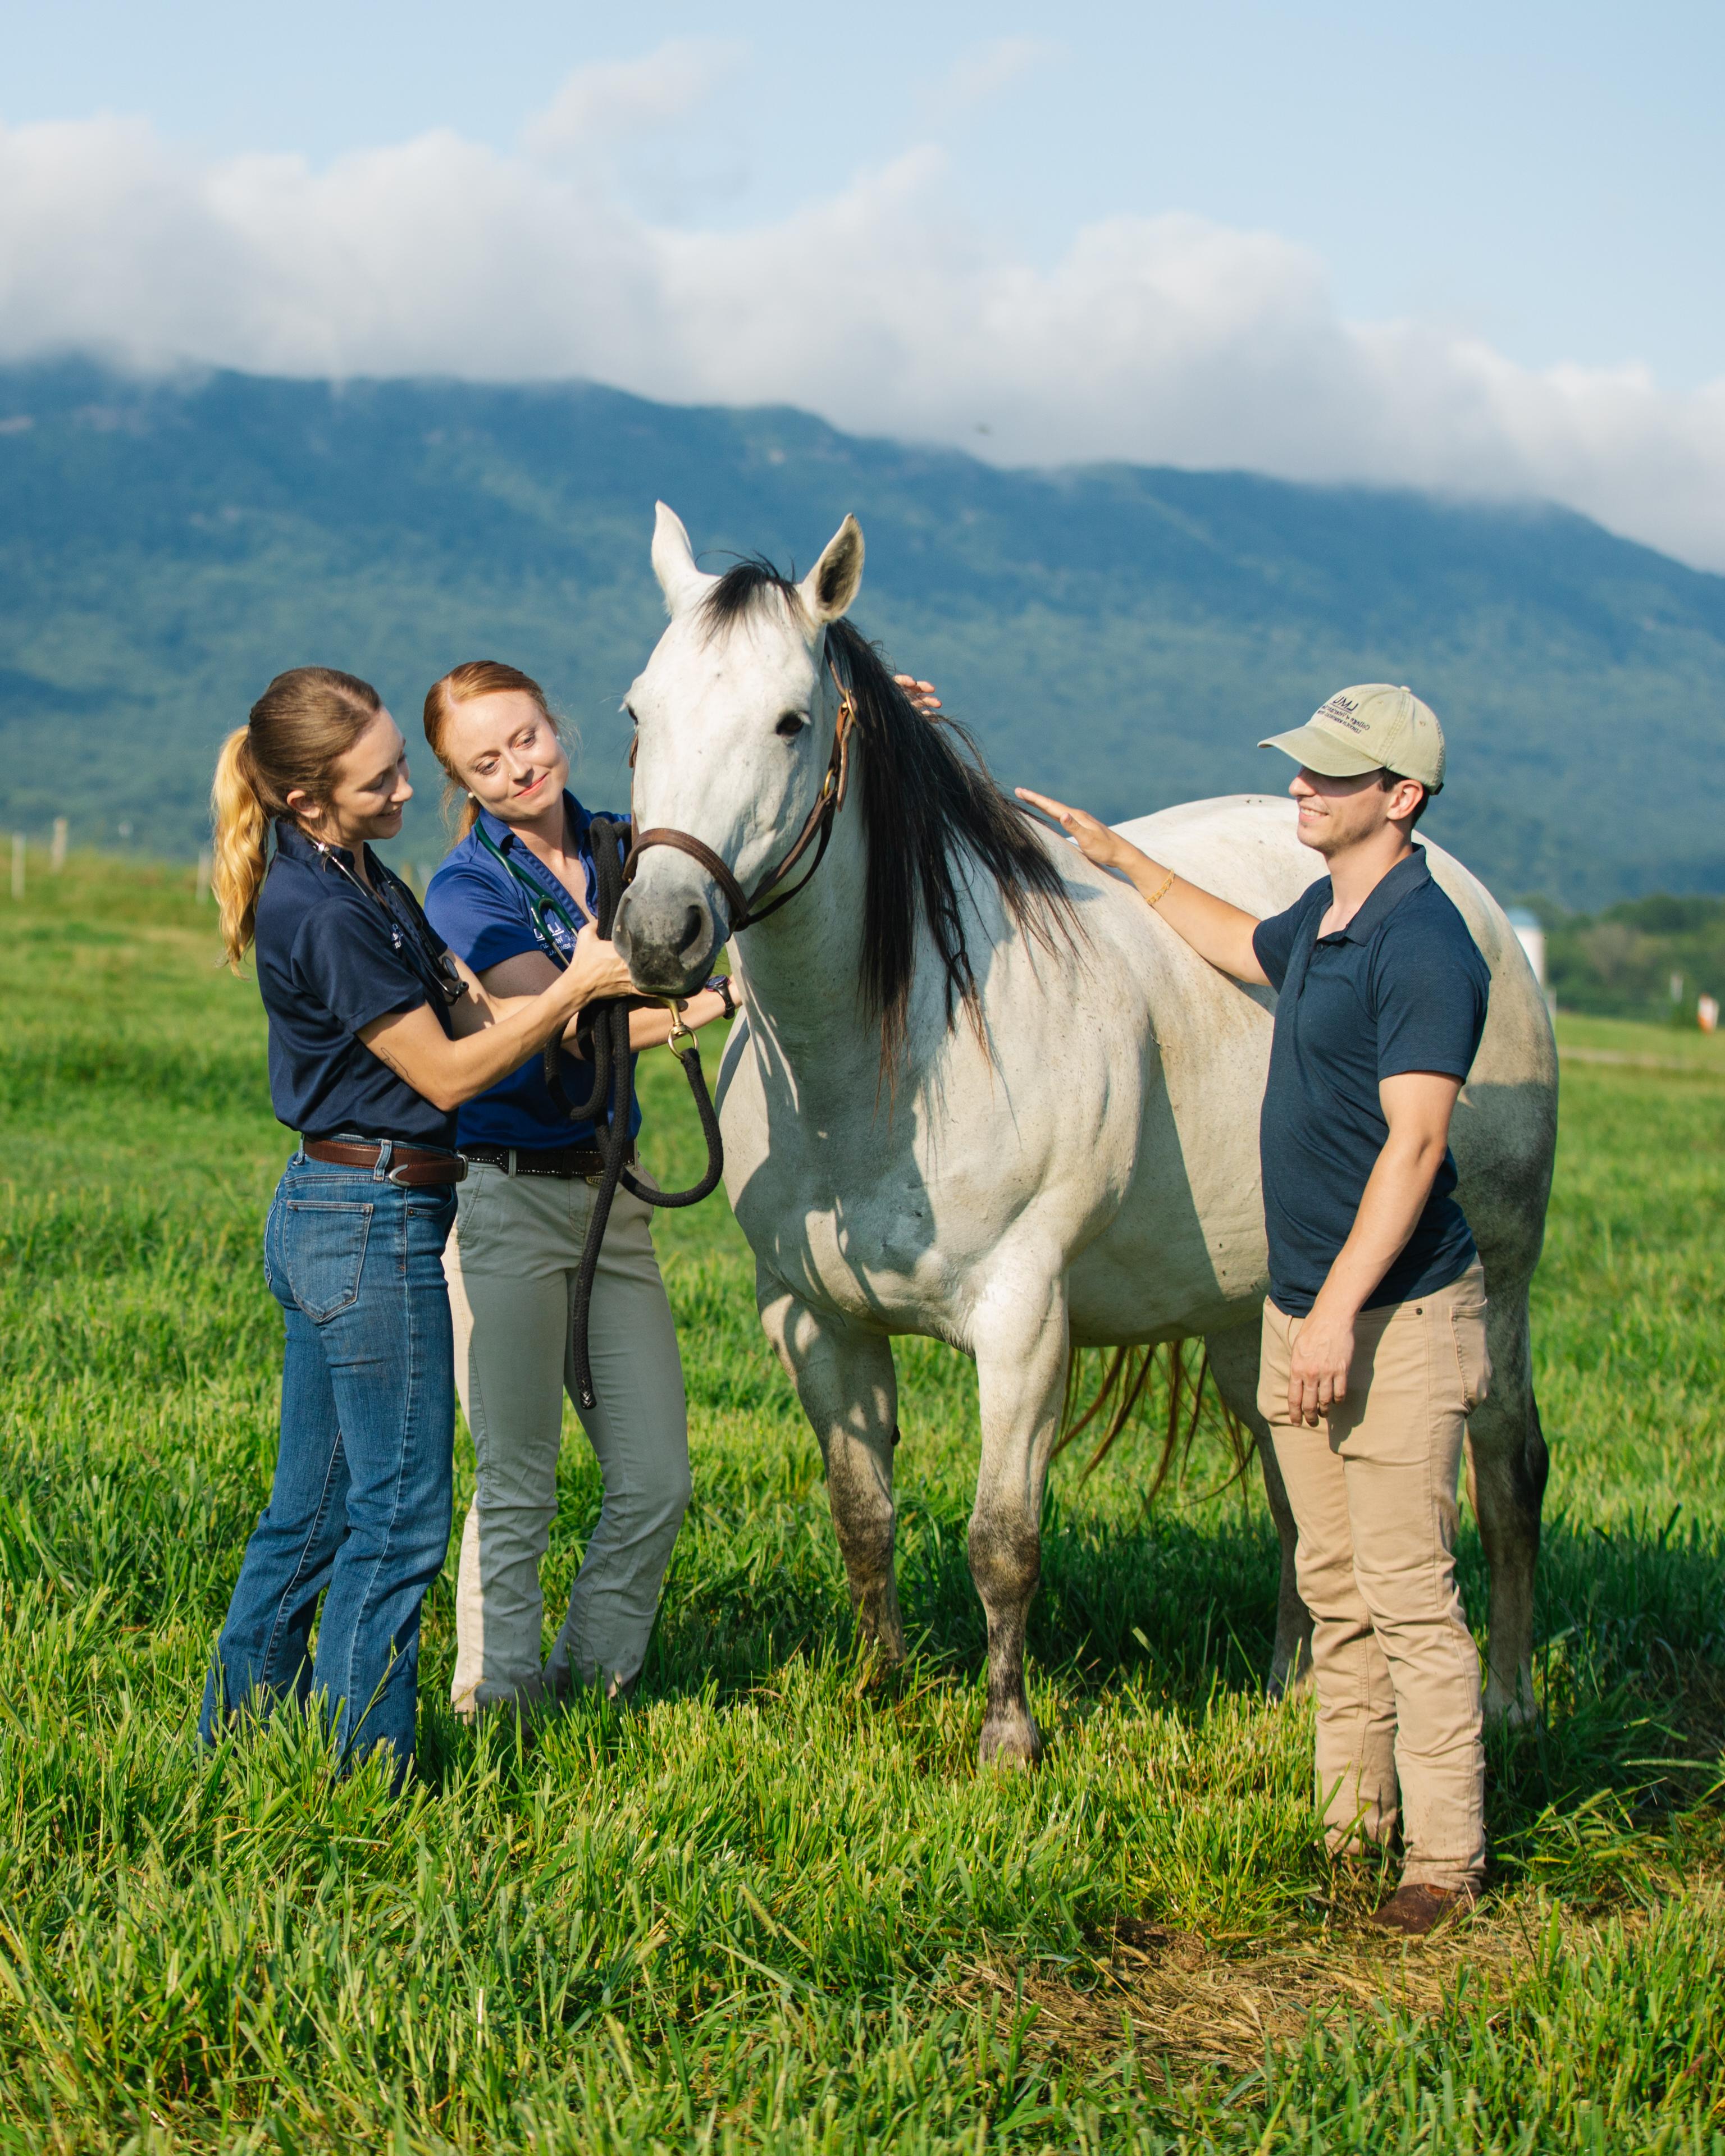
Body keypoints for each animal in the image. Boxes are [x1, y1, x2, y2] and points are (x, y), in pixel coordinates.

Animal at [620, 509, 1561, 1767]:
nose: (659, 932)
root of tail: (1481, 914)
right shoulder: (814, 1319)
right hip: (1261, 1318)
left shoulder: (1026, 1324)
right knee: (1295, 1495)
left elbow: (1003, 1538)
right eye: (640, 711)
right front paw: (882, 1691)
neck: (892, 1063)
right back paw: (1291, 1687)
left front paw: (1007, 1737)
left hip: (1491, 1288)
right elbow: (863, 1515)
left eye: (789, 721)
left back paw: (1506, 1698)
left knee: (1507, 1472)